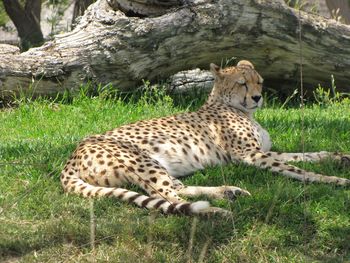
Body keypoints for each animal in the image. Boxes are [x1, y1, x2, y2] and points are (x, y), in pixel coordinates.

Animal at [60, 60, 350, 217]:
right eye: (243, 84)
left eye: (259, 81)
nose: (258, 97)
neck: (233, 105)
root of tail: (73, 154)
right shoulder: (250, 155)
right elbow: (297, 169)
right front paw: (334, 180)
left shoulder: (263, 151)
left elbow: (305, 155)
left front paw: (340, 157)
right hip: (142, 160)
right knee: (169, 196)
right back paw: (214, 210)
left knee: (174, 189)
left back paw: (228, 192)